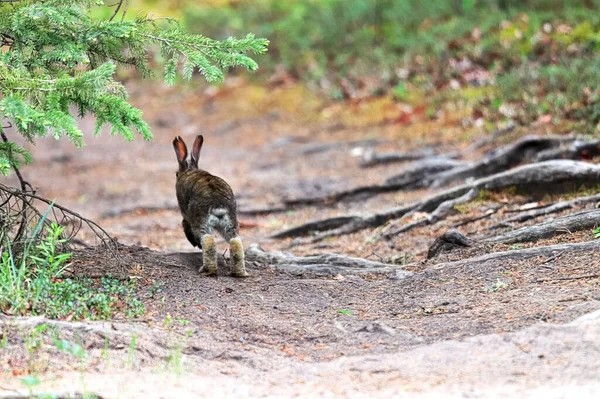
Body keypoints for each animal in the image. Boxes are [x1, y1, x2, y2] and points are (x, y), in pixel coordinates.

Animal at [172, 135, 250, 278]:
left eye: (176, 173)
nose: (176, 175)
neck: (190, 170)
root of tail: (219, 206)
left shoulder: (185, 215)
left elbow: (184, 224)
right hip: (230, 223)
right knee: (235, 241)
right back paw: (240, 273)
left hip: (201, 221)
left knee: (208, 240)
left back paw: (207, 270)